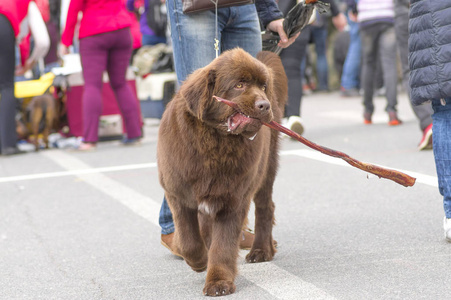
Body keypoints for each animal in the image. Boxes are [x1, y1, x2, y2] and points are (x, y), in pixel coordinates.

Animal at [157, 48, 288, 296]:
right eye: (239, 85)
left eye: (263, 86)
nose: (264, 105)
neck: (216, 142)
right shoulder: (178, 193)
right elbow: (189, 240)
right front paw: (199, 261)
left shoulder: (234, 199)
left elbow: (223, 244)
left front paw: (219, 282)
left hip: (265, 169)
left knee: (266, 207)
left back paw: (261, 250)